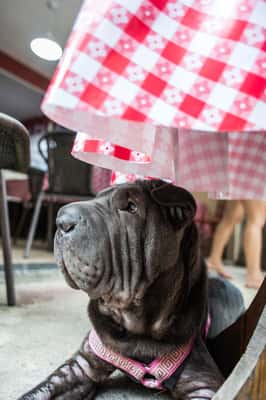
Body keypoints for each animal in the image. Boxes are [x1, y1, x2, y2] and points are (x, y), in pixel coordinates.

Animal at [19, 180, 244, 400]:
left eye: (131, 207)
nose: (62, 220)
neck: (137, 327)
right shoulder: (80, 366)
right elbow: (40, 390)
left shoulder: (202, 382)